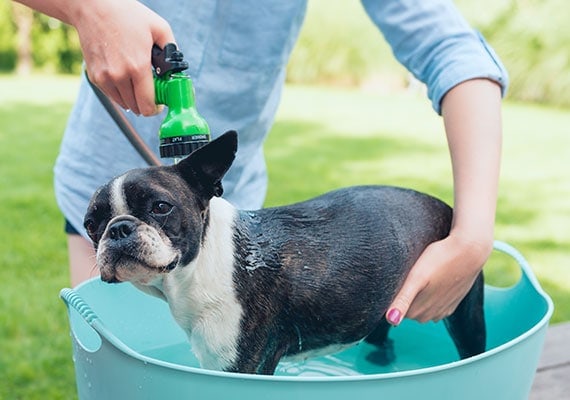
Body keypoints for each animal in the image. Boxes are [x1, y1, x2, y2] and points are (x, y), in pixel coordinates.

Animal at [83, 130, 484, 376]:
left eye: (161, 207)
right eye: (91, 224)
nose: (118, 228)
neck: (200, 267)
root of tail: (444, 205)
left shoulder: (242, 367)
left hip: (465, 308)